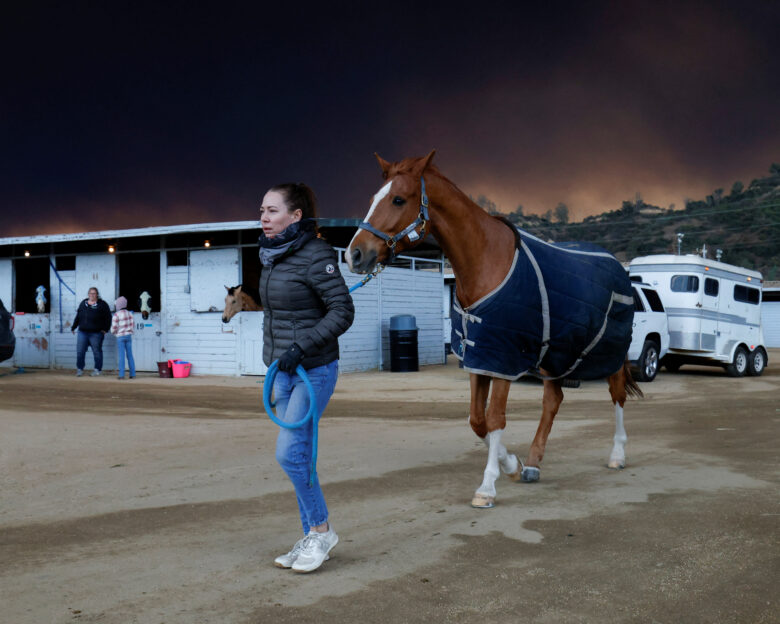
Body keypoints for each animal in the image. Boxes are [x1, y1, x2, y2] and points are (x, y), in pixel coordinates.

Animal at [348, 151, 640, 508]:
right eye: (372, 198)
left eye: (398, 199)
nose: (354, 254)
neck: (485, 261)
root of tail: (618, 267)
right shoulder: (480, 355)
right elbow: (477, 420)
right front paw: (513, 465)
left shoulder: (504, 357)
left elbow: (495, 418)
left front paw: (487, 487)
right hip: (556, 353)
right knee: (553, 399)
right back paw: (533, 463)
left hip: (609, 350)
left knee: (617, 394)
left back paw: (617, 454)